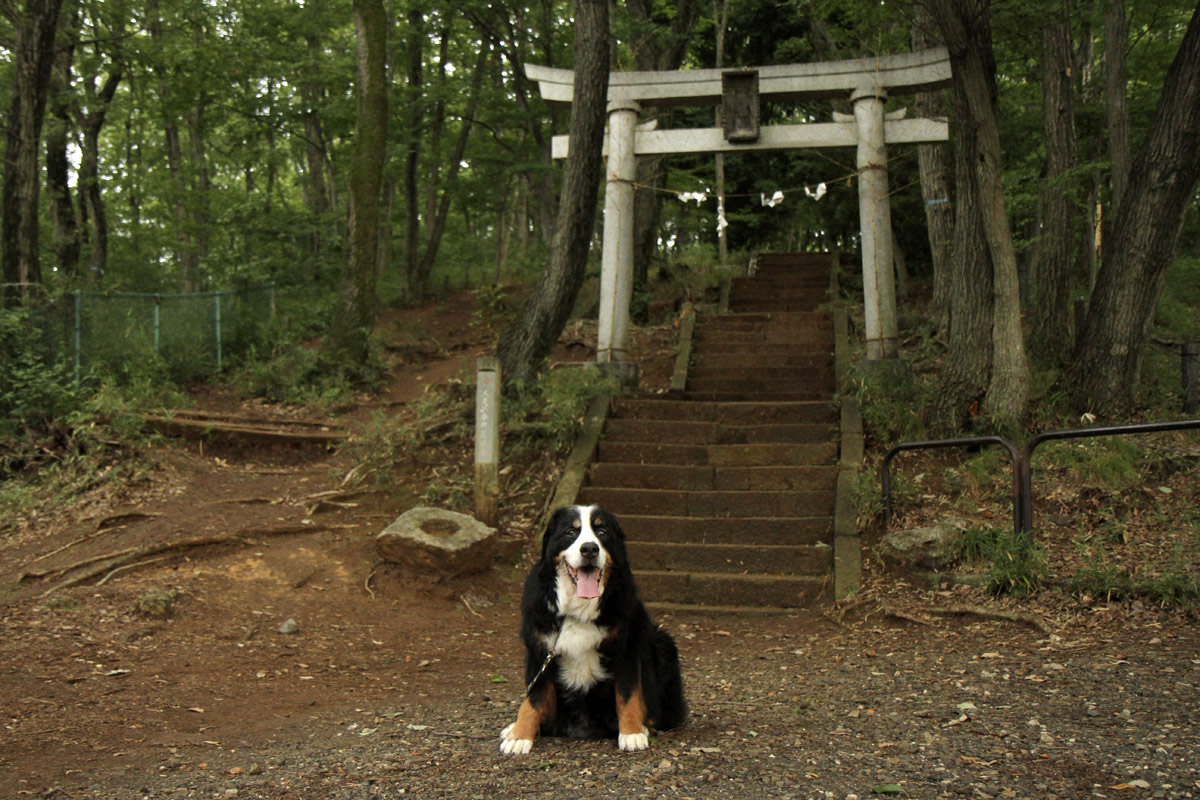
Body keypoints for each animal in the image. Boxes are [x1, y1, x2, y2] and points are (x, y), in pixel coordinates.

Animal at [496, 503, 686, 753]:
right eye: (571, 532)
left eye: (602, 532)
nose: (589, 549)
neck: (578, 610)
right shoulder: (540, 650)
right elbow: (534, 698)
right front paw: (520, 736)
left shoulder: (626, 647)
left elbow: (628, 694)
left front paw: (632, 732)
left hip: (663, 643)